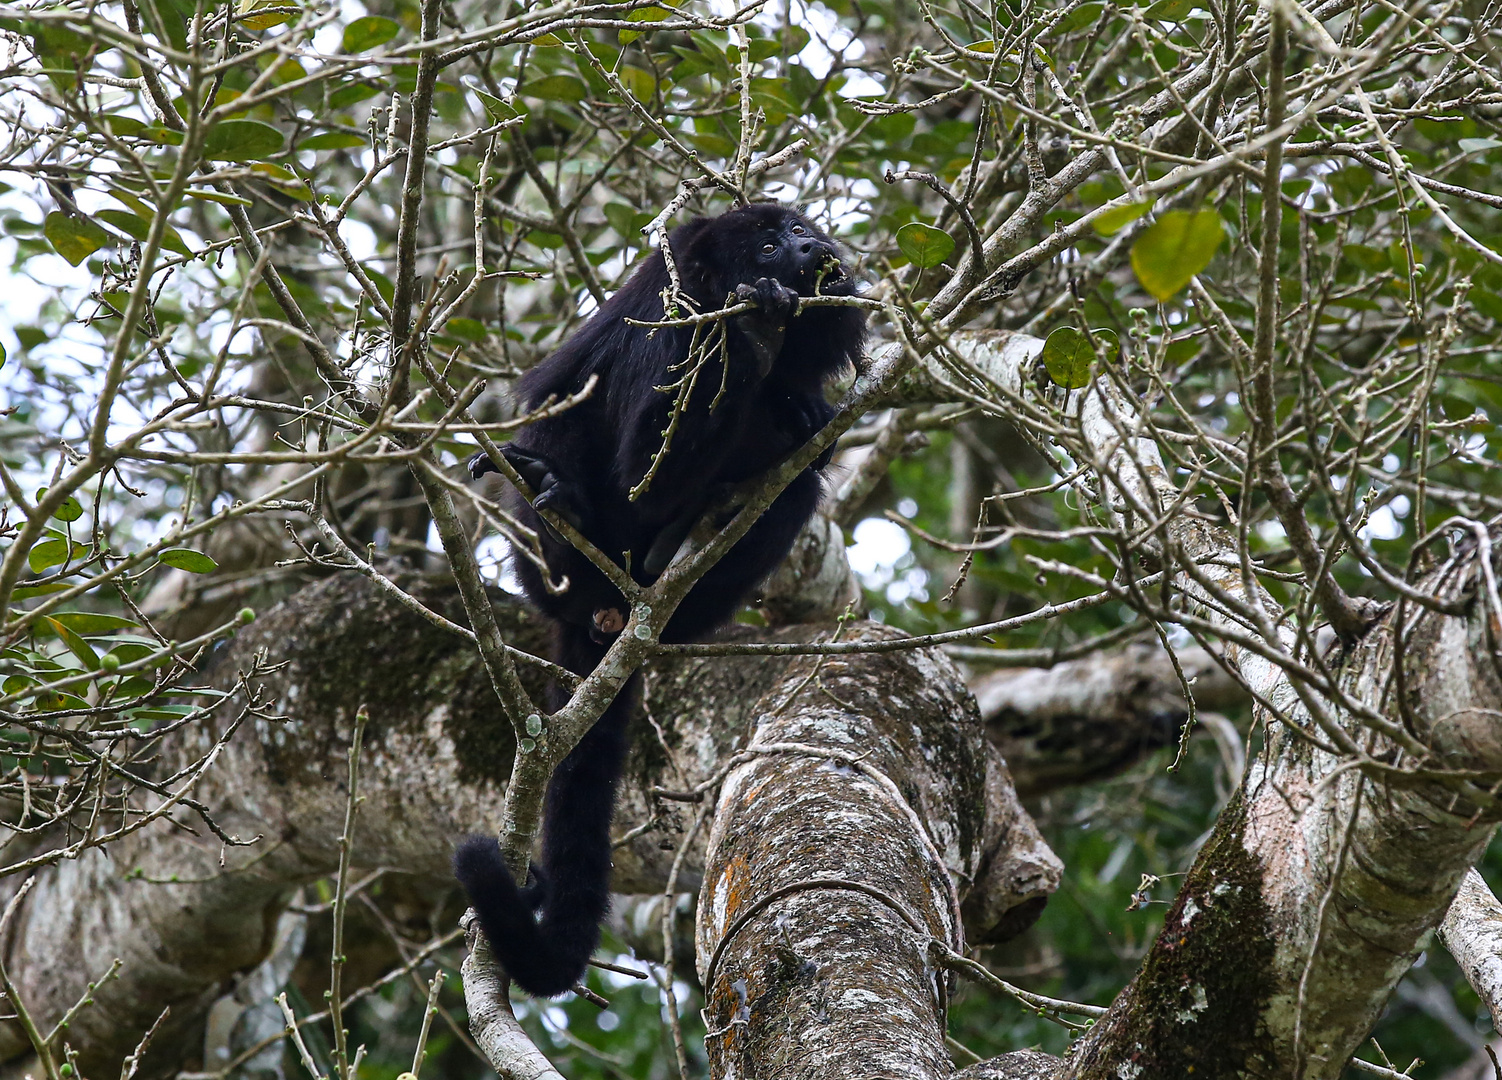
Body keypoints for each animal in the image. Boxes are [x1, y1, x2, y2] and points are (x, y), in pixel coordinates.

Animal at [450, 202, 865, 997]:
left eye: (798, 227)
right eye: (769, 243)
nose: (810, 246)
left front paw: (799, 397)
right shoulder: (677, 312)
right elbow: (644, 458)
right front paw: (754, 336)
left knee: (795, 487)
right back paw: (568, 510)